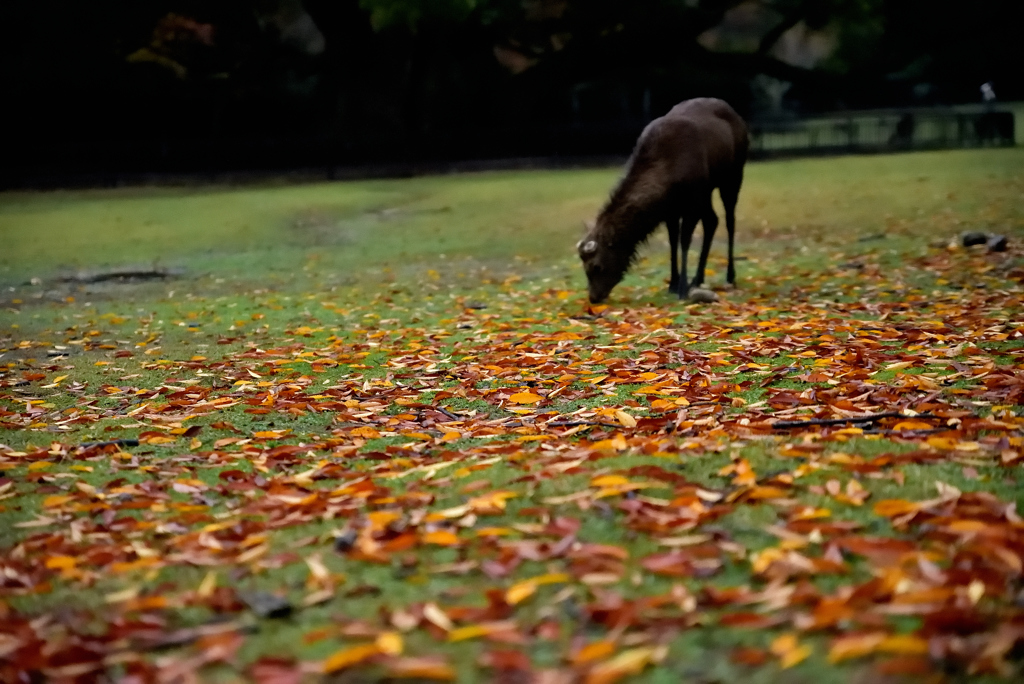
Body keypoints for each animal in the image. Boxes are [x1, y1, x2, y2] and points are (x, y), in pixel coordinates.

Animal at [577, 98, 753, 305]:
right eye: (584, 267)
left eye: (596, 266)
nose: (593, 298)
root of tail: (737, 116)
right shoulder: (671, 208)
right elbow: (673, 241)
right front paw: (673, 284)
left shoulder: (691, 201)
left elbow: (684, 241)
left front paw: (682, 288)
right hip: (707, 192)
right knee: (712, 220)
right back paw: (698, 278)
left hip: (733, 175)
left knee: (729, 221)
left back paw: (729, 276)